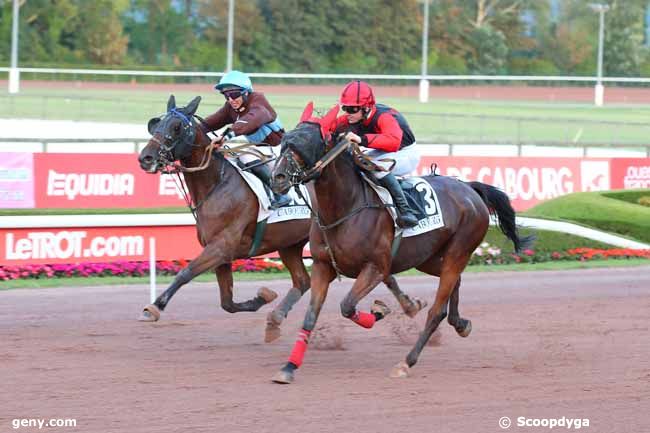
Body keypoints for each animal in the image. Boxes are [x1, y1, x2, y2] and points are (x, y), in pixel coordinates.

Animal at [137, 94, 426, 340]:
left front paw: (154, 307)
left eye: (177, 127)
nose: (145, 157)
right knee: (309, 280)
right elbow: (227, 302)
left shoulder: (222, 246)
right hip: (290, 244)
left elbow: (185, 273)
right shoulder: (220, 251)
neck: (217, 183)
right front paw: (263, 297)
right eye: (157, 124)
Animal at [268, 103, 532, 384]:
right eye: (284, 141)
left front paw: (380, 311)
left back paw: (407, 362)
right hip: (429, 257)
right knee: (454, 284)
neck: (345, 208)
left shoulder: (375, 267)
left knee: (436, 311)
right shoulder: (322, 266)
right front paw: (288, 367)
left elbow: (347, 306)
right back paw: (460, 323)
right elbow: (310, 317)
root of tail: (469, 188)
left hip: (459, 251)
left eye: (306, 143)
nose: (278, 178)